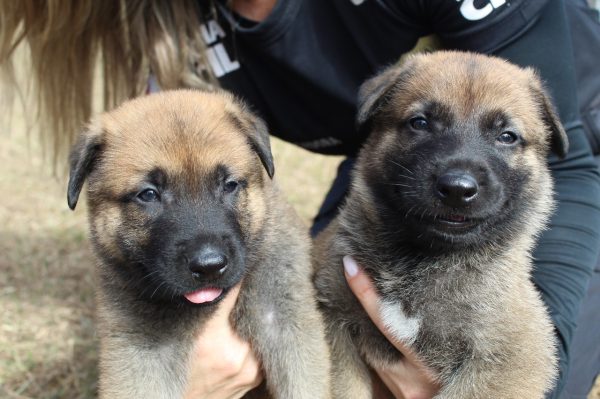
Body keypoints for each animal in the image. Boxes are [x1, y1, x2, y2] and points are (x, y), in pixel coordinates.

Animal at [314, 51, 564, 398]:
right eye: (420, 123)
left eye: (507, 137)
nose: (458, 188)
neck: (423, 259)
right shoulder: (334, 317)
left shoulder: (510, 358)